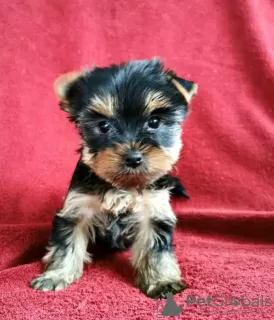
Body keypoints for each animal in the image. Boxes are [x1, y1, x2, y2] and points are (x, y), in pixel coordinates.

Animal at [30, 58, 197, 298]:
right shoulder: (77, 206)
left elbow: (156, 248)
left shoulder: (154, 210)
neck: (122, 186)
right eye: (103, 126)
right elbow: (67, 243)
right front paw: (56, 275)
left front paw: (162, 280)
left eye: (154, 122)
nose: (133, 157)